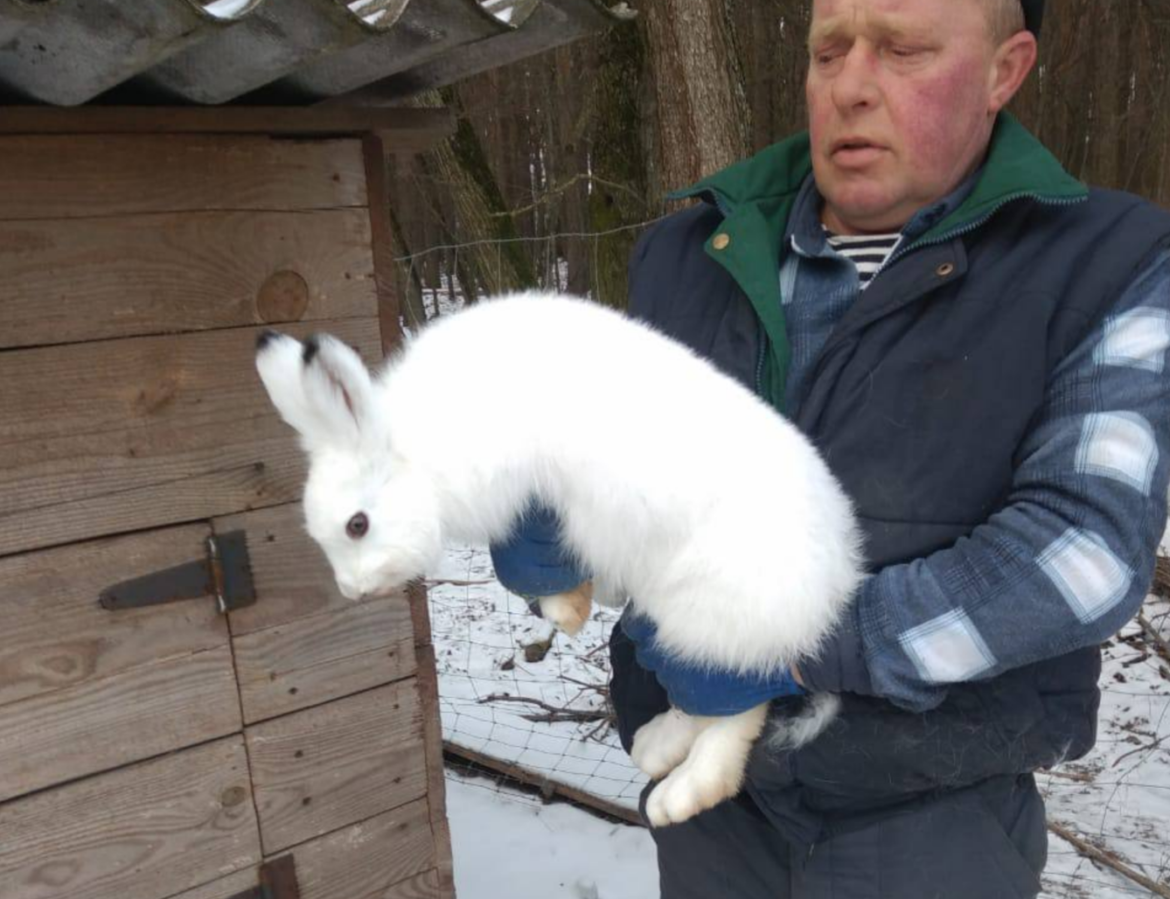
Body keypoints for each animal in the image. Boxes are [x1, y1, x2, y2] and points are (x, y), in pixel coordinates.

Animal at [253, 291, 861, 824]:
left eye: (357, 525)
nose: (353, 590)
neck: (418, 451)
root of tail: (834, 587)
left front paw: (565, 613)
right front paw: (572, 609)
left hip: (708, 612)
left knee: (737, 709)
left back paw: (680, 794)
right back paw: (656, 745)